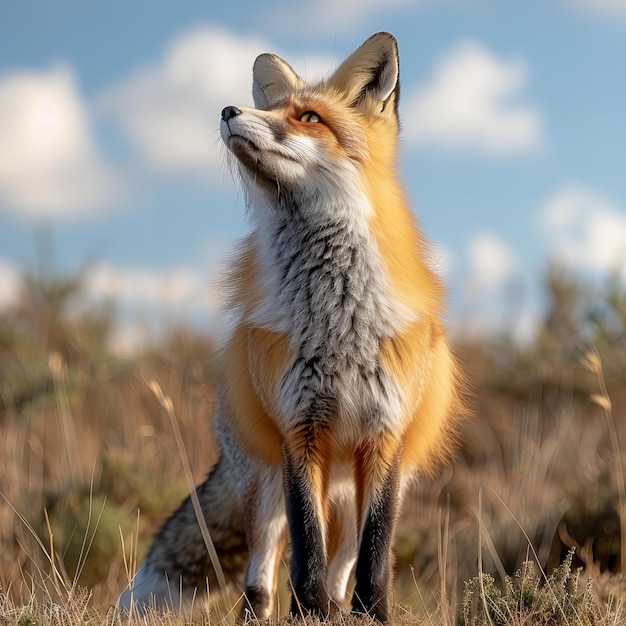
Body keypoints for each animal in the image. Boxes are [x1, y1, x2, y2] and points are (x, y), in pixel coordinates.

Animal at [119, 33, 464, 620]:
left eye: (307, 117)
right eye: (270, 108)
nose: (228, 110)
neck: (336, 322)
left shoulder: (384, 435)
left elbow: (376, 552)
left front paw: (371, 615)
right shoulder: (298, 431)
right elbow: (305, 546)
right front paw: (309, 613)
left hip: (357, 488)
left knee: (347, 557)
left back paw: (345, 607)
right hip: (265, 483)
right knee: (262, 571)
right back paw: (271, 612)